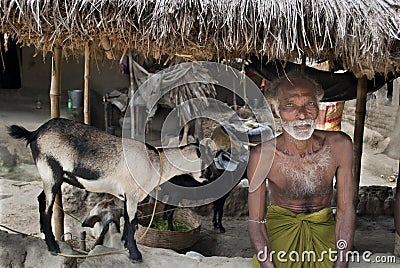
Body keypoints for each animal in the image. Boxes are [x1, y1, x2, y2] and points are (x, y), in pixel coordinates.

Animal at [8, 118, 203, 262]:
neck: (155, 163)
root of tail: (35, 133)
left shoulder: (127, 196)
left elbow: (128, 220)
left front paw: (125, 245)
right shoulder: (132, 194)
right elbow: (133, 222)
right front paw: (135, 255)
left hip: (53, 177)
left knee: (41, 199)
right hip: (51, 172)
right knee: (47, 208)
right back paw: (53, 247)